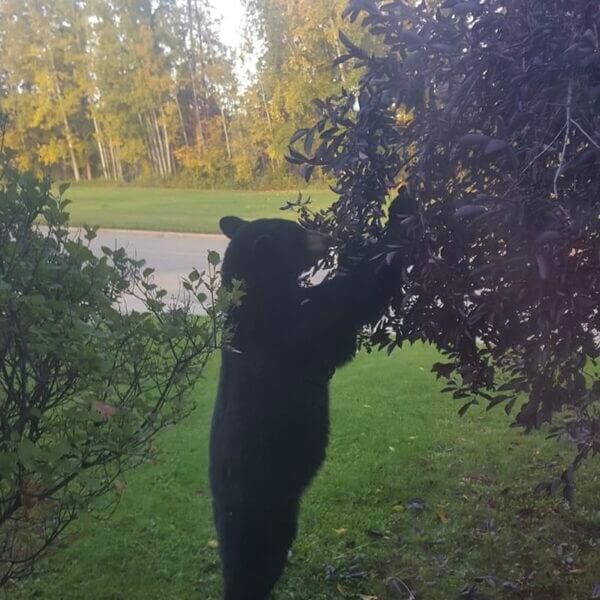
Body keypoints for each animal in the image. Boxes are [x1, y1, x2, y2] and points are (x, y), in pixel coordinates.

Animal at [209, 217, 392, 600]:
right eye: (298, 233)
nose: (329, 237)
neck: (258, 296)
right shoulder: (286, 333)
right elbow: (341, 308)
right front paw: (391, 229)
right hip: (261, 509)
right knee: (254, 567)